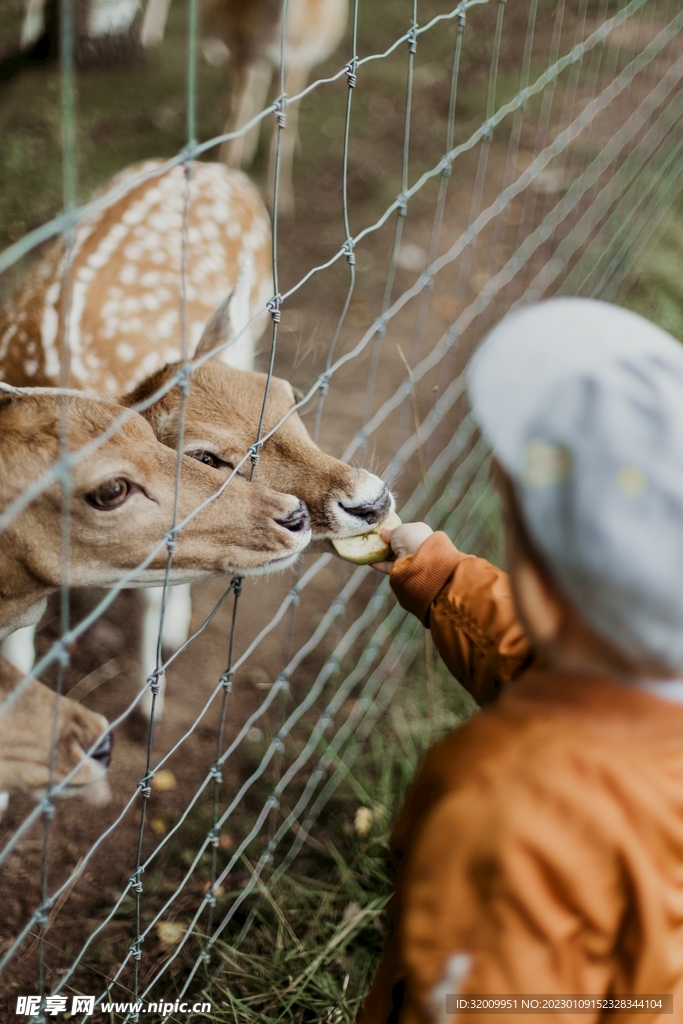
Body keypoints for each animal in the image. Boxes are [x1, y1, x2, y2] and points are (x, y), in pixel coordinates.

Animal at [140, 0, 349, 216]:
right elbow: (237, 111)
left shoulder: (296, 59)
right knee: (243, 98)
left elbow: (285, 120)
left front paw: (280, 200)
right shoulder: (243, 52)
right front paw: (228, 173)